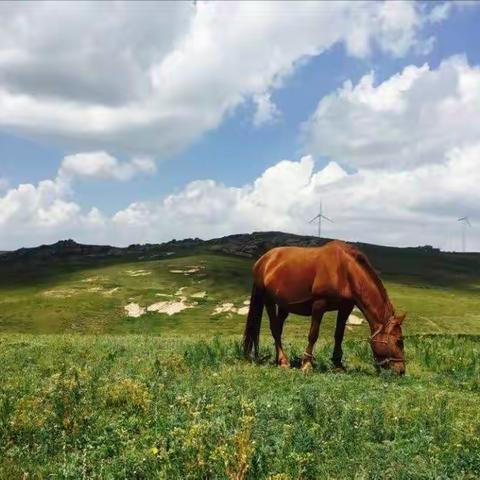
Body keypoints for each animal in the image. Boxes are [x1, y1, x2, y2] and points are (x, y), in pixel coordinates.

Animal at [244, 242, 404, 374]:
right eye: (399, 341)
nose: (401, 370)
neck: (344, 271)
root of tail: (263, 261)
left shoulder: (345, 307)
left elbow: (339, 335)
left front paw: (338, 364)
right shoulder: (319, 305)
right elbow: (313, 334)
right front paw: (307, 364)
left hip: (285, 306)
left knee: (278, 328)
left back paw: (279, 359)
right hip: (268, 300)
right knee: (275, 329)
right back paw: (284, 361)